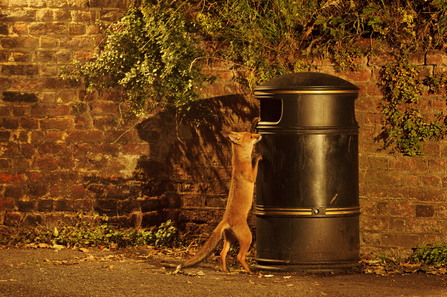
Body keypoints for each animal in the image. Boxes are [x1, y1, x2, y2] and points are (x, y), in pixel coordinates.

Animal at [175, 130, 264, 272]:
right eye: (251, 136)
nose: (260, 135)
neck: (240, 160)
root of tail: (225, 219)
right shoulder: (251, 177)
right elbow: (255, 162)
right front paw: (257, 156)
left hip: (230, 239)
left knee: (222, 253)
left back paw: (225, 270)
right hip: (247, 237)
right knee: (239, 256)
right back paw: (250, 271)